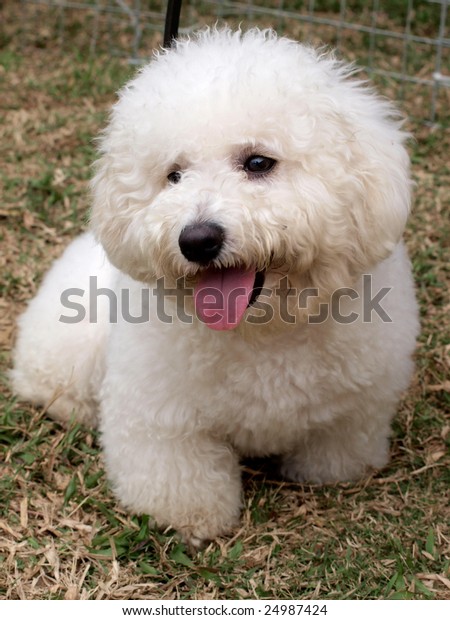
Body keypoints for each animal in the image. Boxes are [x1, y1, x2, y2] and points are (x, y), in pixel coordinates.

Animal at [11, 27, 418, 544]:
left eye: (259, 162)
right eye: (173, 176)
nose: (198, 240)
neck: (262, 329)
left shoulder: (357, 406)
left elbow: (337, 447)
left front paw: (330, 476)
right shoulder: (163, 419)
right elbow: (181, 479)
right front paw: (191, 518)